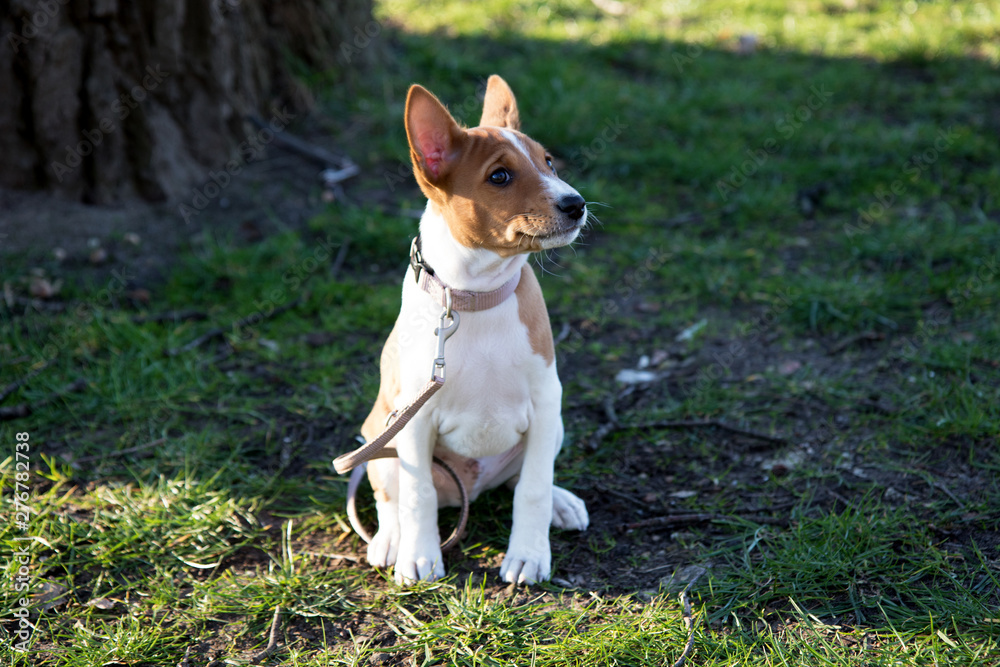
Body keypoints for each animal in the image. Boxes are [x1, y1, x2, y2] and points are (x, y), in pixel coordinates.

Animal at [360, 74, 588, 584]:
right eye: (499, 176)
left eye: (548, 161)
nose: (576, 203)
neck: (476, 296)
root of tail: (470, 487)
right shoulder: (414, 416)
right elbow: (418, 496)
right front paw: (419, 556)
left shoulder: (547, 400)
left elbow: (533, 488)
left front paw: (529, 553)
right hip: (380, 435)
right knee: (391, 497)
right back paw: (390, 541)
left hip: (553, 429)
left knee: (523, 477)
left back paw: (562, 503)